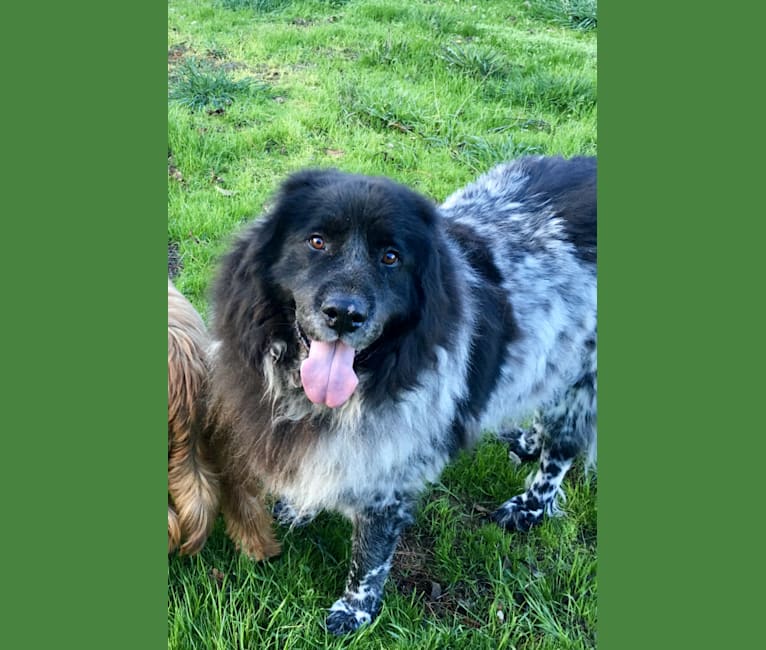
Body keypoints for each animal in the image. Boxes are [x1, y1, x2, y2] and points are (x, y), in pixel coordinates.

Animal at [210, 156, 600, 632]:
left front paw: (354, 612)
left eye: (391, 257)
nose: (345, 314)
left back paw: (528, 507)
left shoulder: (389, 472)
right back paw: (527, 442)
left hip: (580, 381)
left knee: (560, 455)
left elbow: (370, 554)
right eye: (317, 242)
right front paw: (300, 508)